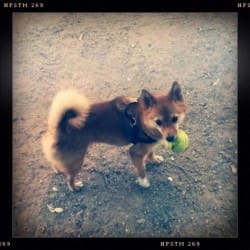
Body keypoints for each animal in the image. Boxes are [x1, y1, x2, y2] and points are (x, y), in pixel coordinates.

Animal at [42, 81, 188, 190]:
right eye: (159, 122)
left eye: (175, 119)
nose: (170, 138)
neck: (141, 118)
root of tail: (61, 126)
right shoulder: (135, 152)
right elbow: (141, 170)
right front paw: (143, 182)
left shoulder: (149, 145)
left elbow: (151, 152)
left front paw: (154, 159)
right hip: (77, 160)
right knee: (69, 178)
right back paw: (75, 187)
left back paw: (57, 169)